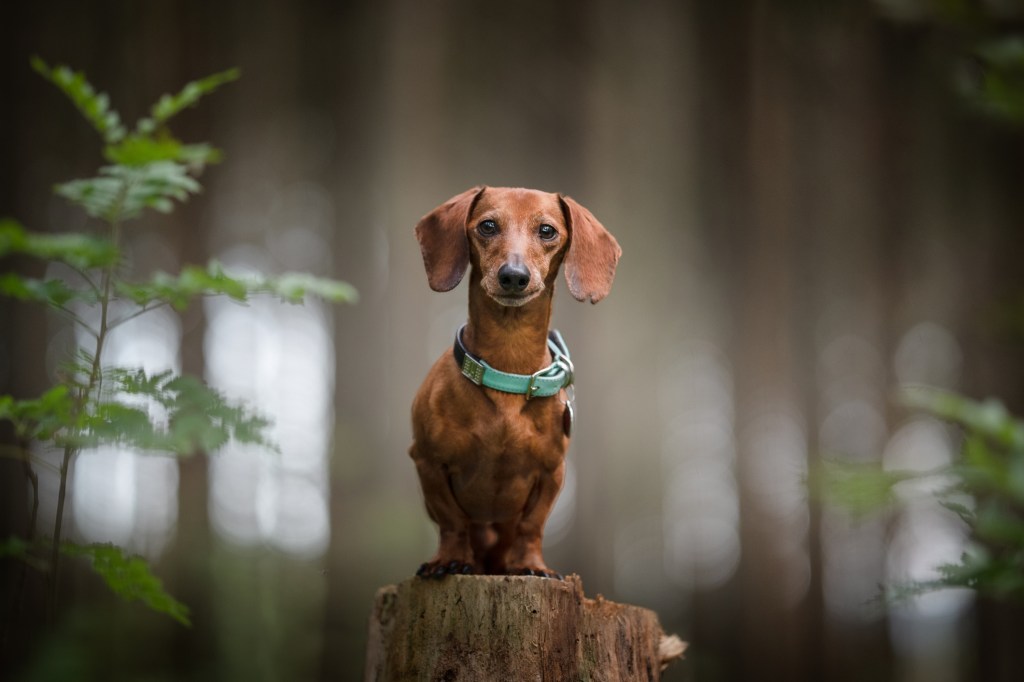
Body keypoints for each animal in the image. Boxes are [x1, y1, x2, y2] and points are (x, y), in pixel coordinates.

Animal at [409, 183, 618, 577]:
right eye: (488, 226)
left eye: (547, 230)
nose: (514, 276)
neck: (509, 367)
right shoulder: (427, 461)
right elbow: (451, 519)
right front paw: (450, 559)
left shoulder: (553, 472)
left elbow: (531, 525)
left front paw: (531, 565)